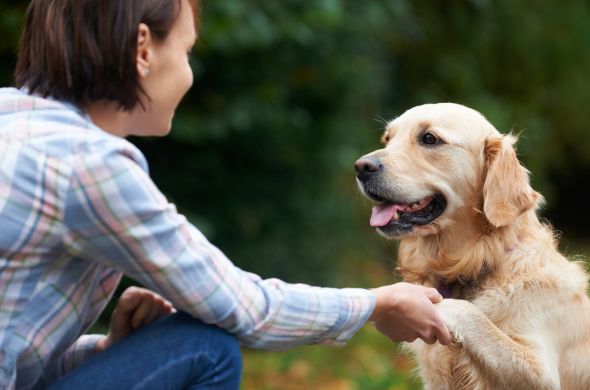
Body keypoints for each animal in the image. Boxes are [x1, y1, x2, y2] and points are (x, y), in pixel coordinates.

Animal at [356, 103, 590, 390]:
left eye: (429, 138)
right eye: (387, 139)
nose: (361, 167)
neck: (477, 263)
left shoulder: (542, 372)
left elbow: (469, 312)